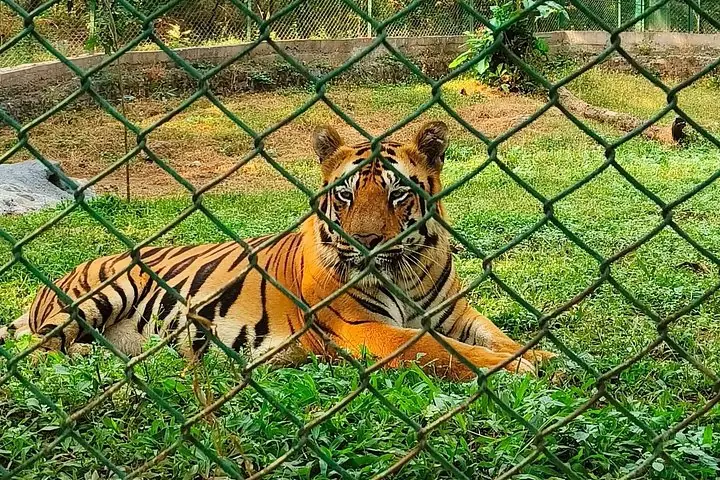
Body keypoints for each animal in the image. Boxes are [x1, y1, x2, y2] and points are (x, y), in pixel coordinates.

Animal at [0, 121, 555, 380]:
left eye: (397, 193)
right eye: (346, 194)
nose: (367, 242)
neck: (406, 270)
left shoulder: (458, 313)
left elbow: (496, 336)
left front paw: (539, 355)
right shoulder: (361, 327)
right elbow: (432, 349)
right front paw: (516, 368)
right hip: (100, 292)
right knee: (38, 347)